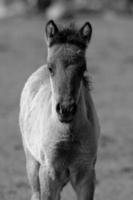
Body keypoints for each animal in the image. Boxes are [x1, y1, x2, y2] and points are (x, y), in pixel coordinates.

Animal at [18, 19, 100, 200]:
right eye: (51, 67)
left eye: (83, 67)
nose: (66, 109)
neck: (67, 134)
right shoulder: (48, 173)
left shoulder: (86, 174)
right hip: (32, 164)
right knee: (35, 194)